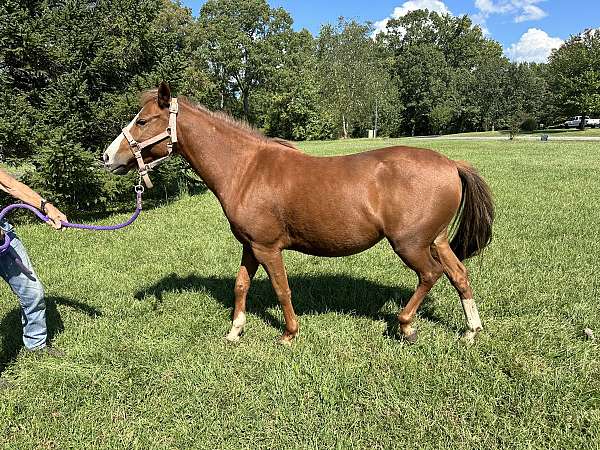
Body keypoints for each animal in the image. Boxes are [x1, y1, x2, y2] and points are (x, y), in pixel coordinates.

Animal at [104, 83, 492, 344]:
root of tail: (451, 163)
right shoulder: (250, 246)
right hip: (436, 240)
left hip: (410, 244)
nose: (107, 157)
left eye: (143, 121)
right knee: (459, 275)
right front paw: (235, 331)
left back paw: (406, 325)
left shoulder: (267, 248)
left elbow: (282, 289)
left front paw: (289, 334)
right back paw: (471, 331)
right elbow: (241, 285)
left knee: (430, 275)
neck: (247, 169)